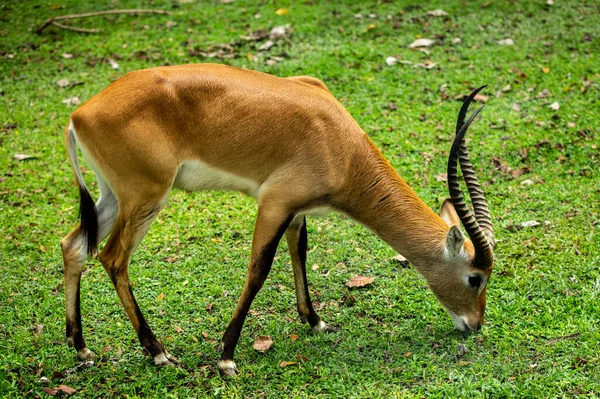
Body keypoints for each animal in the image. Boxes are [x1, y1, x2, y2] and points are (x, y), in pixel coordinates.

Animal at [59, 63, 496, 378]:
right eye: (475, 277)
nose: (475, 324)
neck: (340, 143)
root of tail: (79, 114)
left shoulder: (296, 210)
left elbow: (299, 253)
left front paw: (315, 321)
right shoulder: (274, 203)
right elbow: (259, 270)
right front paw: (226, 357)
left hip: (114, 196)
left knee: (74, 246)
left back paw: (81, 349)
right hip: (146, 198)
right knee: (112, 258)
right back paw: (159, 353)